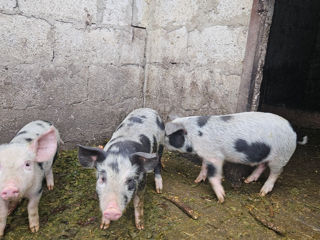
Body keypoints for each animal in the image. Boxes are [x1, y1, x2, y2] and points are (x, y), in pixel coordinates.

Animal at [165, 112, 308, 202]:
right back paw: (248, 180)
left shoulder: (215, 156)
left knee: (275, 173)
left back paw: (262, 192)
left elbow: (213, 175)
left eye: (168, 135)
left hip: (280, 157)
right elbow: (204, 166)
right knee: (262, 165)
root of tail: (294, 133)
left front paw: (221, 198)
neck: (194, 135)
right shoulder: (207, 154)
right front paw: (197, 180)